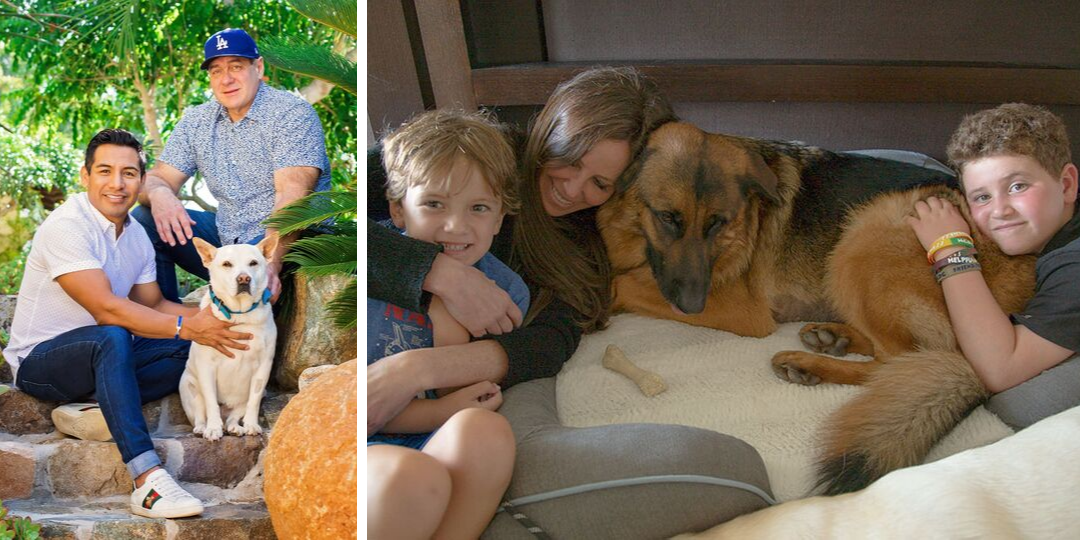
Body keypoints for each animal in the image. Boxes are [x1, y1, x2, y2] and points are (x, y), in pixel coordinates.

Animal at [179, 237, 278, 442]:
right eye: (227, 264)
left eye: (253, 263)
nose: (244, 279)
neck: (239, 315)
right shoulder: (206, 367)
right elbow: (211, 402)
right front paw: (213, 428)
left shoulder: (263, 367)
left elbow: (254, 402)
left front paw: (251, 425)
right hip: (190, 389)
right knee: (200, 414)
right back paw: (204, 427)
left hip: (244, 400)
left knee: (234, 416)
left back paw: (235, 427)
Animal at [600, 122, 1036, 494]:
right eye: (667, 218)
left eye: (716, 223)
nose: (692, 304)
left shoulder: (743, 310)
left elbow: (623, 284)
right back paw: (832, 337)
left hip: (868, 233)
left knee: (903, 359)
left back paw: (808, 364)